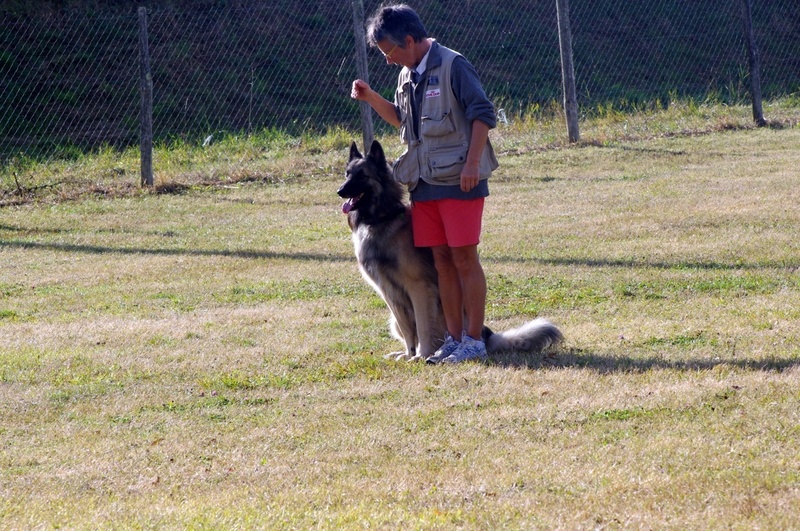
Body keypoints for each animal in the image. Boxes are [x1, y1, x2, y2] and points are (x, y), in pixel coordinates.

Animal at [338, 139, 564, 364]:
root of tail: (487, 336)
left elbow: (423, 327)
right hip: (394, 318)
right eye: (347, 174)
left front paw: (421, 355)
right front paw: (409, 354)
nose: (340, 191)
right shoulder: (389, 293)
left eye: (362, 175)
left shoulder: (418, 288)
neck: (382, 219)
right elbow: (408, 330)